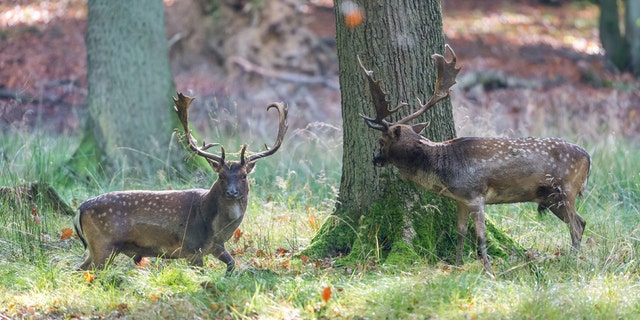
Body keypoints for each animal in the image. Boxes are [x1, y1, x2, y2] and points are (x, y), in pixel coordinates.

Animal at [72, 92, 288, 272]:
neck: (215, 228)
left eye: (244, 175)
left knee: (78, 270)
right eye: (221, 176)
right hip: (103, 244)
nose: (232, 192)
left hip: (96, 249)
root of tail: (79, 209)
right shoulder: (192, 248)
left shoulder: (216, 246)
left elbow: (232, 264)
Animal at [360, 45, 592, 276]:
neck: (444, 168)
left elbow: (480, 236)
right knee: (581, 221)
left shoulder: (475, 195)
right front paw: (457, 265)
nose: (375, 159)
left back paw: (572, 261)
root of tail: (588, 157)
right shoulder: (461, 199)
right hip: (551, 197)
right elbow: (461, 232)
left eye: (381, 140)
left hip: (567, 189)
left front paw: (488, 271)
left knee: (575, 225)